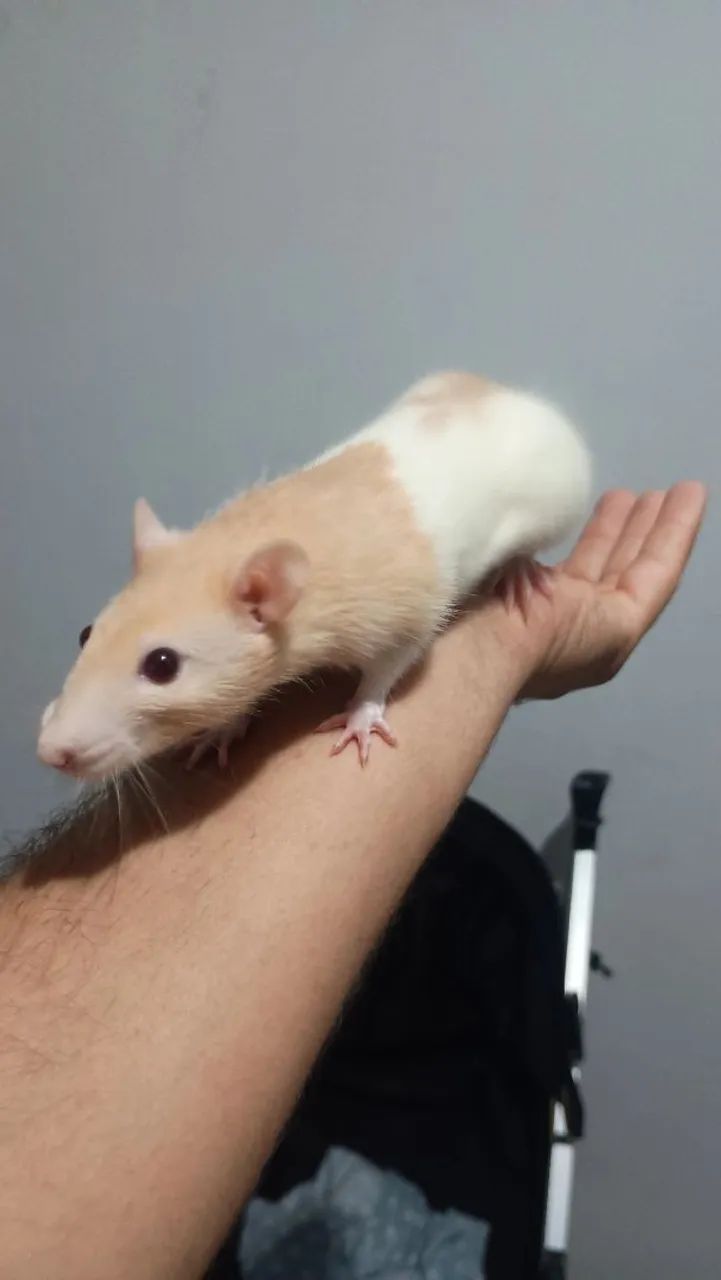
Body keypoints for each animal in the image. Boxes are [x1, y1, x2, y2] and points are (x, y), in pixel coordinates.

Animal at [37, 372, 591, 777]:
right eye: (85, 634)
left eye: (162, 665)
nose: (51, 751)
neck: (246, 538)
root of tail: (509, 394)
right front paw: (224, 726)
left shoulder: (399, 608)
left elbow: (397, 656)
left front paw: (362, 714)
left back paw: (519, 570)